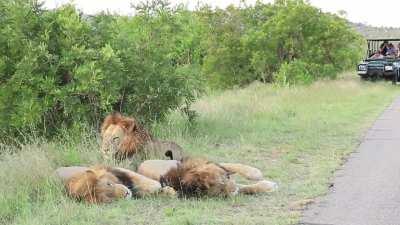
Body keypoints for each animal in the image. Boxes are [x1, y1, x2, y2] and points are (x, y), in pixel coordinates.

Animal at [136, 157, 276, 198]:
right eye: (220, 189)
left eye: (226, 178)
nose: (233, 189)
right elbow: (246, 188)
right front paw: (269, 186)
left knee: (224, 163)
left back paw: (255, 172)